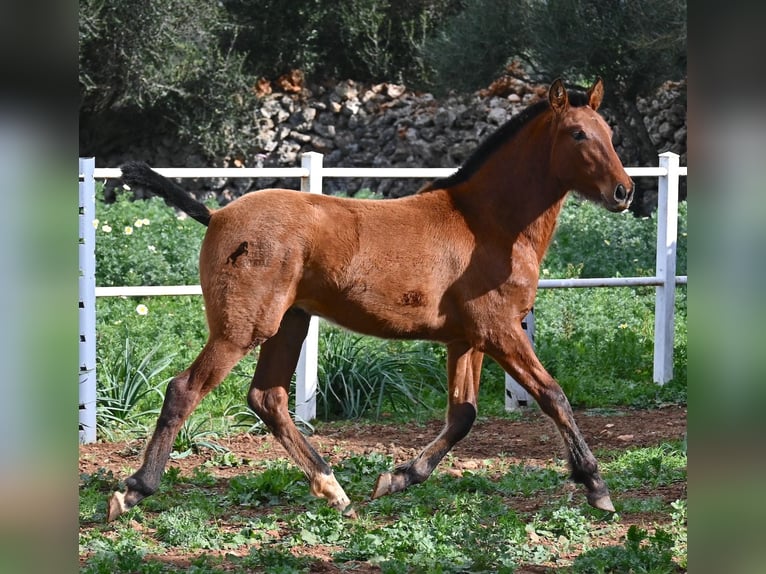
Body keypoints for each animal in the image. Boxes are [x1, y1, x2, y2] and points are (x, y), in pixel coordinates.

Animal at [109, 79, 636, 524]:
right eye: (577, 134)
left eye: (609, 133)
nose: (624, 191)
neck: (487, 224)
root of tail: (216, 214)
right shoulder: (500, 331)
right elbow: (553, 396)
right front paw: (597, 487)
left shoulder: (466, 340)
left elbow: (462, 415)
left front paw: (397, 478)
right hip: (243, 328)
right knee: (185, 389)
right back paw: (133, 490)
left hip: (290, 323)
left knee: (268, 397)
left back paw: (334, 489)